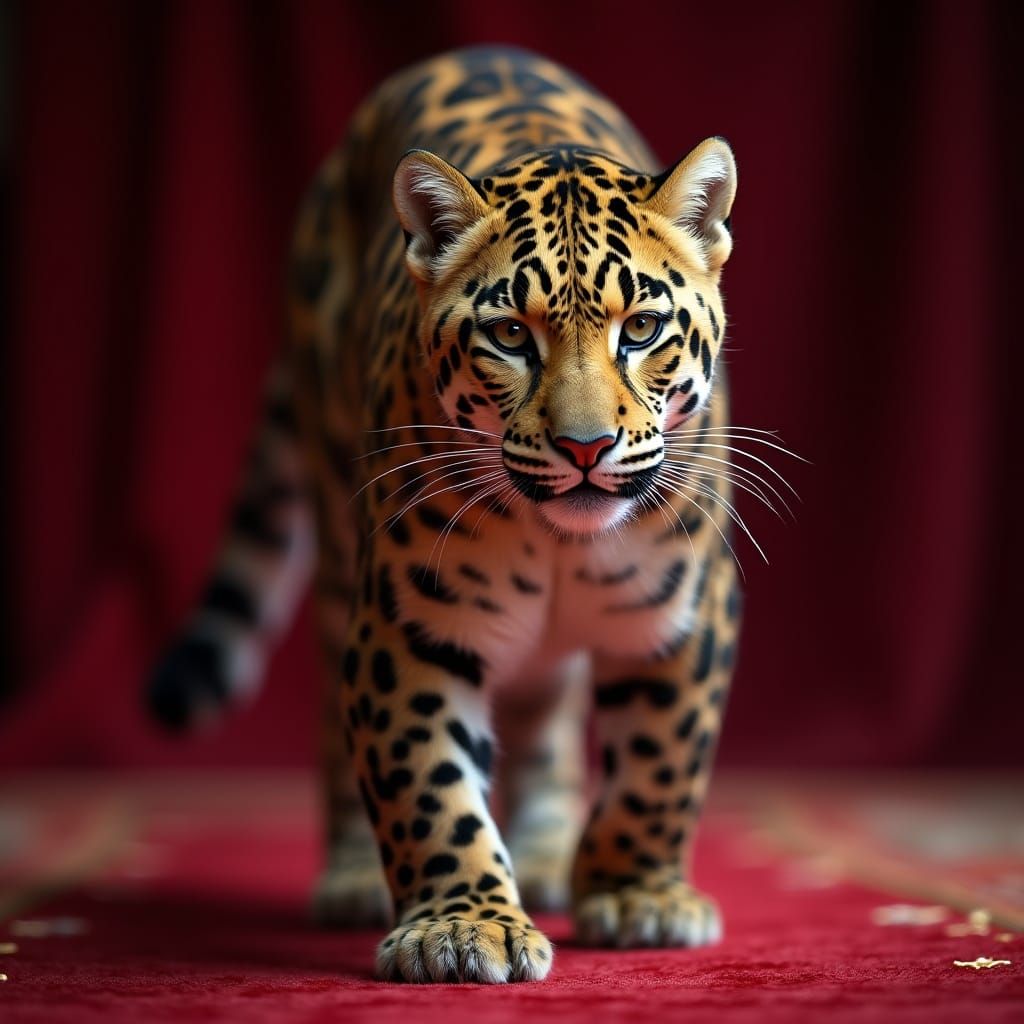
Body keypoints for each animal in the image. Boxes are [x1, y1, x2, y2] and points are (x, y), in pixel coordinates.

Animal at [148, 45, 760, 984]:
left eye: (643, 329)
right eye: (509, 337)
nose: (586, 446)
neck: (558, 547)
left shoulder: (685, 613)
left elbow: (659, 765)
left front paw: (638, 895)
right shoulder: (408, 628)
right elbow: (428, 785)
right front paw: (462, 926)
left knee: (547, 721)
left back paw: (546, 854)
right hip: (337, 549)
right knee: (334, 725)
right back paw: (353, 877)